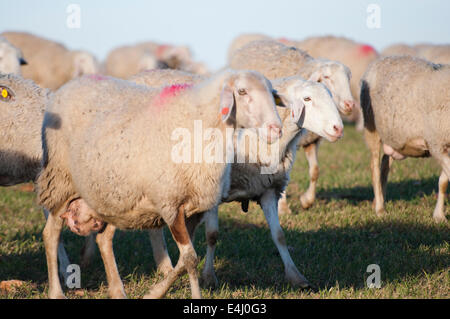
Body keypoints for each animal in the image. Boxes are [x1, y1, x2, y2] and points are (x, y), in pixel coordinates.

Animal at [36, 69, 282, 300]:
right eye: (242, 91)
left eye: (272, 92)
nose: (276, 129)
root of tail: (69, 85)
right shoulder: (170, 204)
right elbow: (190, 259)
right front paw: (192, 295)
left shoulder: (194, 209)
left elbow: (183, 260)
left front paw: (153, 293)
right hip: (60, 182)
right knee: (51, 235)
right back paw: (56, 292)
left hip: (114, 197)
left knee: (103, 239)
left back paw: (117, 290)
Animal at [232, 40, 356, 214]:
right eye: (326, 77)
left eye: (349, 78)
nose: (350, 105)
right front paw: (284, 208)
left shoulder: (309, 142)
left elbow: (315, 170)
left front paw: (307, 201)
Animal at [362, 55, 450, 222]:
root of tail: (381, 59)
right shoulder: (436, 143)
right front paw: (440, 215)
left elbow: (443, 182)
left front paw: (438, 216)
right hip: (372, 127)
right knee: (375, 167)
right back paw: (380, 209)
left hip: (394, 137)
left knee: (385, 164)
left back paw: (378, 200)